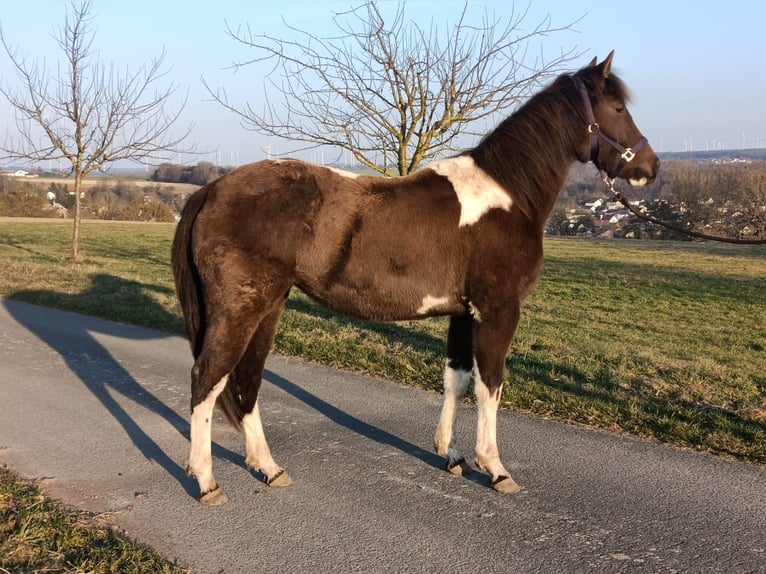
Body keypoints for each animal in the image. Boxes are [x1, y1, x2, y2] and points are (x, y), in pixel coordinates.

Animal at [172, 51, 659, 505]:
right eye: (617, 107)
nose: (650, 168)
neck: (507, 194)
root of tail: (210, 191)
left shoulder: (463, 313)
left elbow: (456, 379)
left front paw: (452, 455)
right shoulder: (497, 311)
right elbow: (491, 386)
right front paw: (495, 468)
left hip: (269, 307)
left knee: (246, 381)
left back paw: (269, 468)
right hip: (241, 309)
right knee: (207, 379)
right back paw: (207, 481)